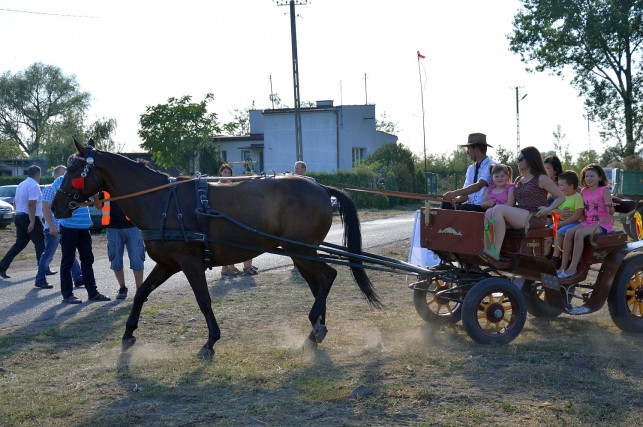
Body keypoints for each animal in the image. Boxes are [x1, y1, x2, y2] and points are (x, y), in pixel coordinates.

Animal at [52, 140, 380, 358]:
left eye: (75, 170)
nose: (55, 207)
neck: (161, 201)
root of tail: (322, 188)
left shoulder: (189, 262)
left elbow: (203, 300)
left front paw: (211, 340)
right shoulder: (167, 264)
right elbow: (141, 292)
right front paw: (128, 332)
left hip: (301, 250)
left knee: (327, 278)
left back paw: (316, 327)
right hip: (302, 252)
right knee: (319, 283)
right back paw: (317, 328)